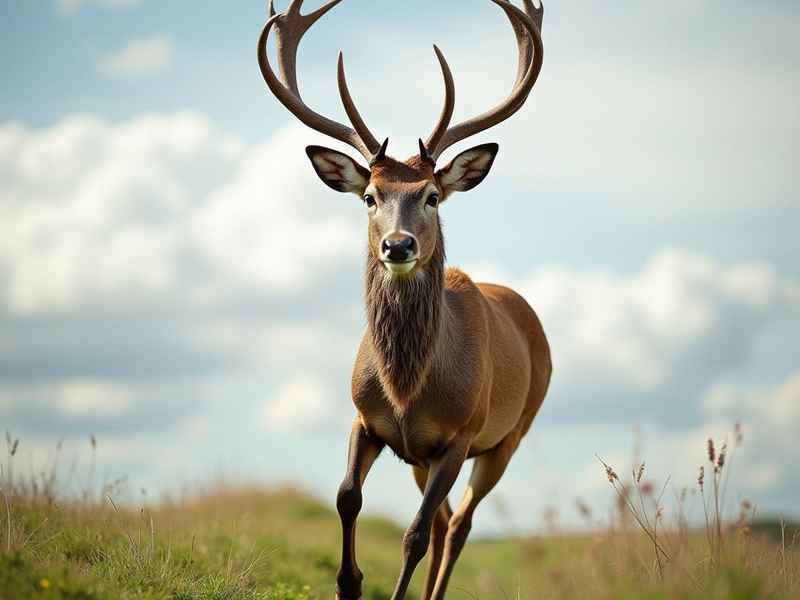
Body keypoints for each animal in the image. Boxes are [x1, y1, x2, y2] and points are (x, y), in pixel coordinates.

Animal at [257, 1, 551, 598]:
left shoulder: (459, 437)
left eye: (433, 195)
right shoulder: (366, 420)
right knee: (444, 521)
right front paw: (347, 584)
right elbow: (347, 498)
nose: (398, 245)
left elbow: (412, 535)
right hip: (424, 456)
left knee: (457, 525)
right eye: (370, 196)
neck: (406, 388)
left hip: (509, 434)